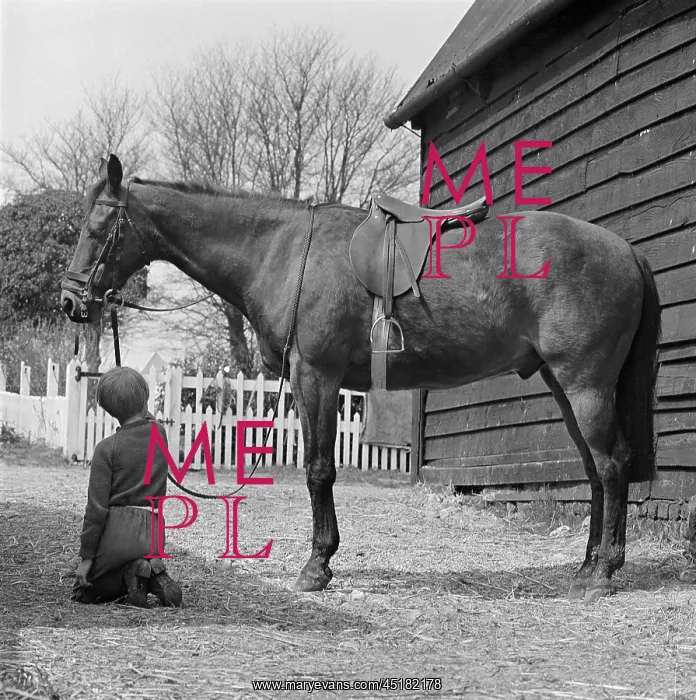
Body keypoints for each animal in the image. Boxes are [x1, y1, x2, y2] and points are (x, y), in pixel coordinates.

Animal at [61, 155, 661, 601]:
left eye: (98, 227)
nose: (70, 301)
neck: (280, 250)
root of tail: (626, 251)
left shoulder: (316, 377)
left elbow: (319, 470)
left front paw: (316, 565)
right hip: (566, 387)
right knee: (594, 471)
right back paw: (587, 567)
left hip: (584, 386)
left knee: (611, 465)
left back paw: (602, 573)